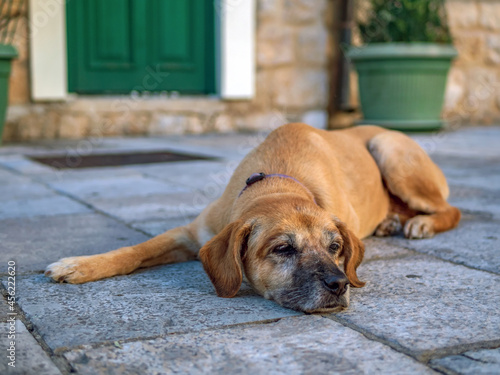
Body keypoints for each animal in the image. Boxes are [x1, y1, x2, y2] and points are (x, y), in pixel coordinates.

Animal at [45, 125, 458, 312]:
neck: (279, 180)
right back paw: (392, 221)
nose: (340, 285)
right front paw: (80, 265)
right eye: (283, 249)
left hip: (390, 151)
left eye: (336, 247)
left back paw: (421, 223)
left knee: (450, 209)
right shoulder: (191, 233)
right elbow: (135, 250)